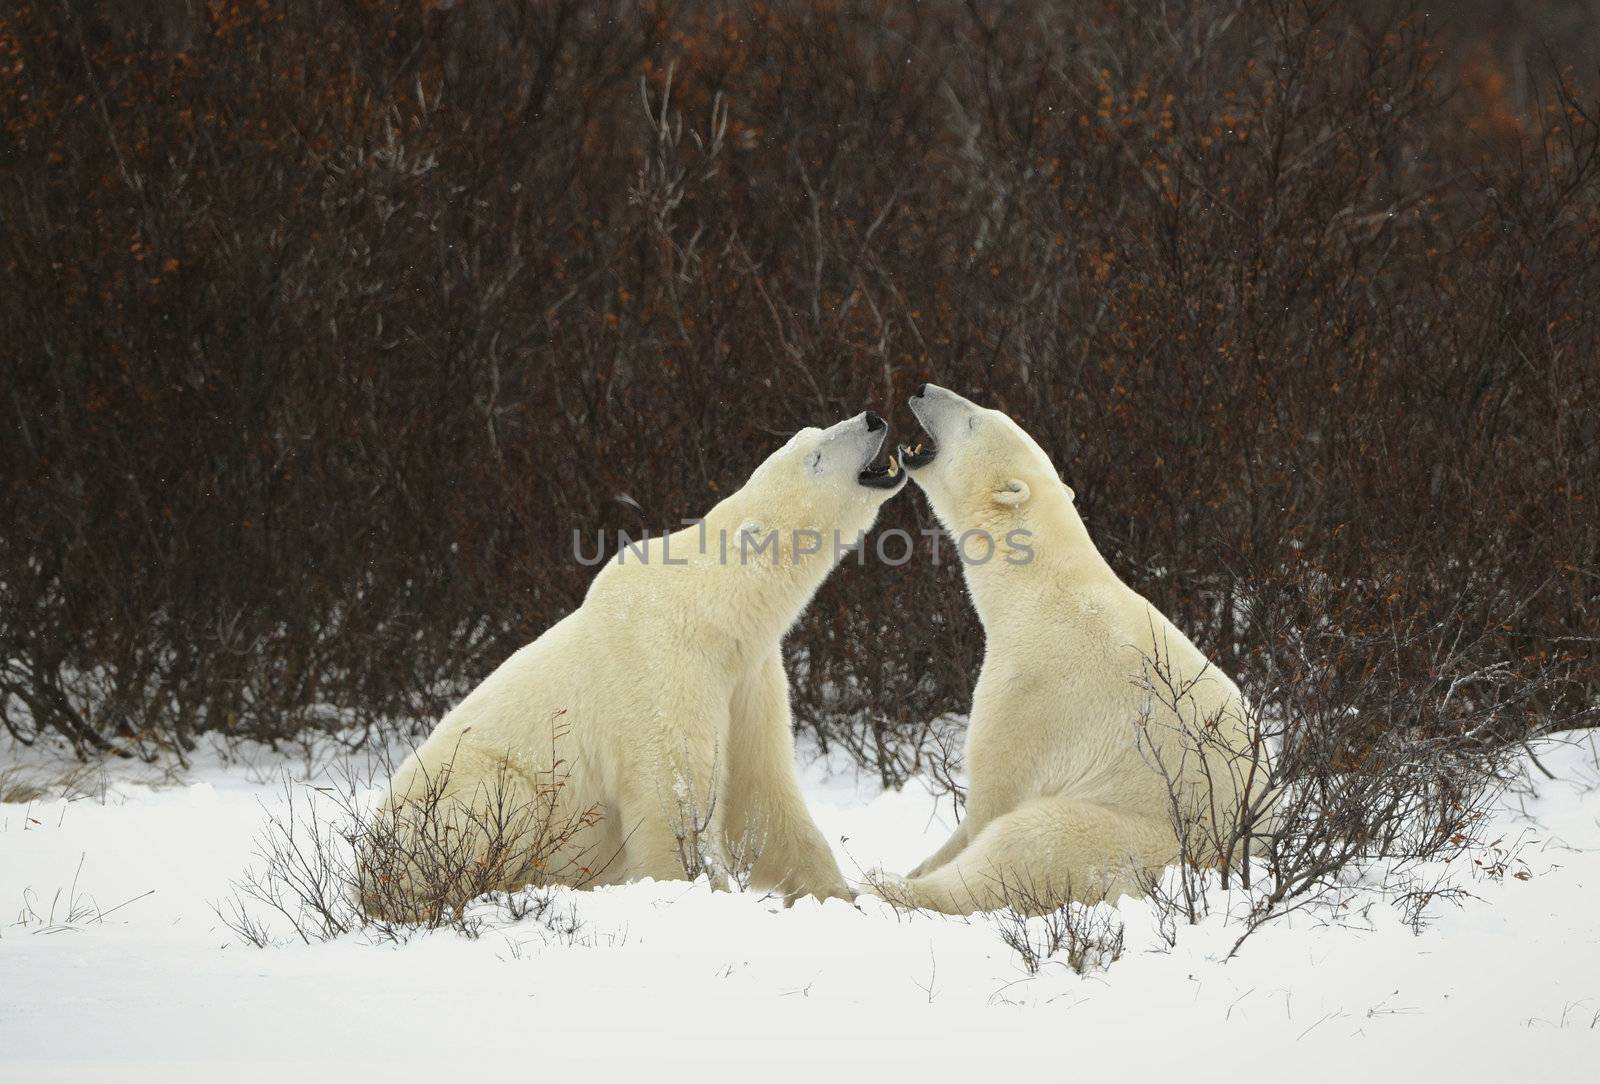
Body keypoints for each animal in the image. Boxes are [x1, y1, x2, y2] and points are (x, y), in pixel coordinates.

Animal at [366, 412, 908, 920]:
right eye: (814, 457)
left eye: (813, 433)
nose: (873, 419)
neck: (713, 608)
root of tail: (365, 875)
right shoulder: (664, 666)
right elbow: (675, 794)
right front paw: (695, 891)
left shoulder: (748, 677)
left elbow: (761, 793)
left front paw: (842, 896)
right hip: (456, 801)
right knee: (506, 806)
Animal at [883, 390, 1267, 914]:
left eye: (973, 419)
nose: (923, 389)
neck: (1039, 586)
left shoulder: (1033, 691)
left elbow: (991, 799)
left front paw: (919, 870)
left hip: (1133, 838)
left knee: (1026, 841)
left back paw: (883, 886)